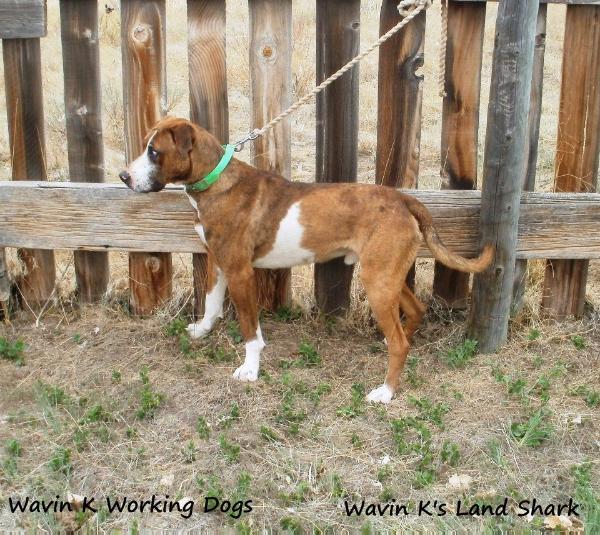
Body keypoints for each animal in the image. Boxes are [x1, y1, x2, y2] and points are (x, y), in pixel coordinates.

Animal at [118, 116, 492, 402]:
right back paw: (391, 343)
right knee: (414, 312)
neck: (216, 181)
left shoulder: (240, 273)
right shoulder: (217, 262)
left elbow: (250, 330)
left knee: (401, 343)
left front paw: (250, 369)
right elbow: (210, 303)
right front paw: (201, 331)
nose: (123, 176)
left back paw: (386, 391)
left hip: (378, 280)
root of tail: (402, 199)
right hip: (386, 275)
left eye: (154, 151)